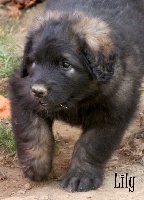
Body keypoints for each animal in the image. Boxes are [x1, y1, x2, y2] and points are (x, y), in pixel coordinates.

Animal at [9, 0, 144, 192]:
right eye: (33, 61)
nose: (37, 91)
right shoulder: (22, 91)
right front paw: (36, 165)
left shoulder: (113, 110)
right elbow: (33, 131)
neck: (77, 100)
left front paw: (80, 175)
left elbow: (91, 145)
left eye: (66, 64)